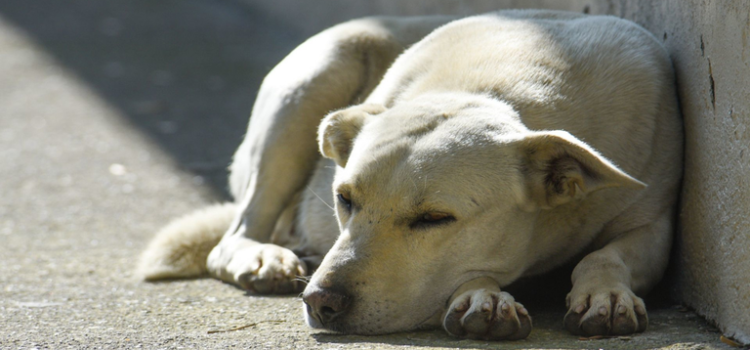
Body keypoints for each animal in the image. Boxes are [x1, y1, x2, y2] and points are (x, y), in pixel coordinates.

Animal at [138, 9, 684, 340]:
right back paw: (264, 256)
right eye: (344, 199)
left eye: (435, 219)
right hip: (315, 77)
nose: (320, 301)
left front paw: (606, 293)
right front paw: (484, 296)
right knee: (235, 234)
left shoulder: (654, 223)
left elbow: (607, 255)